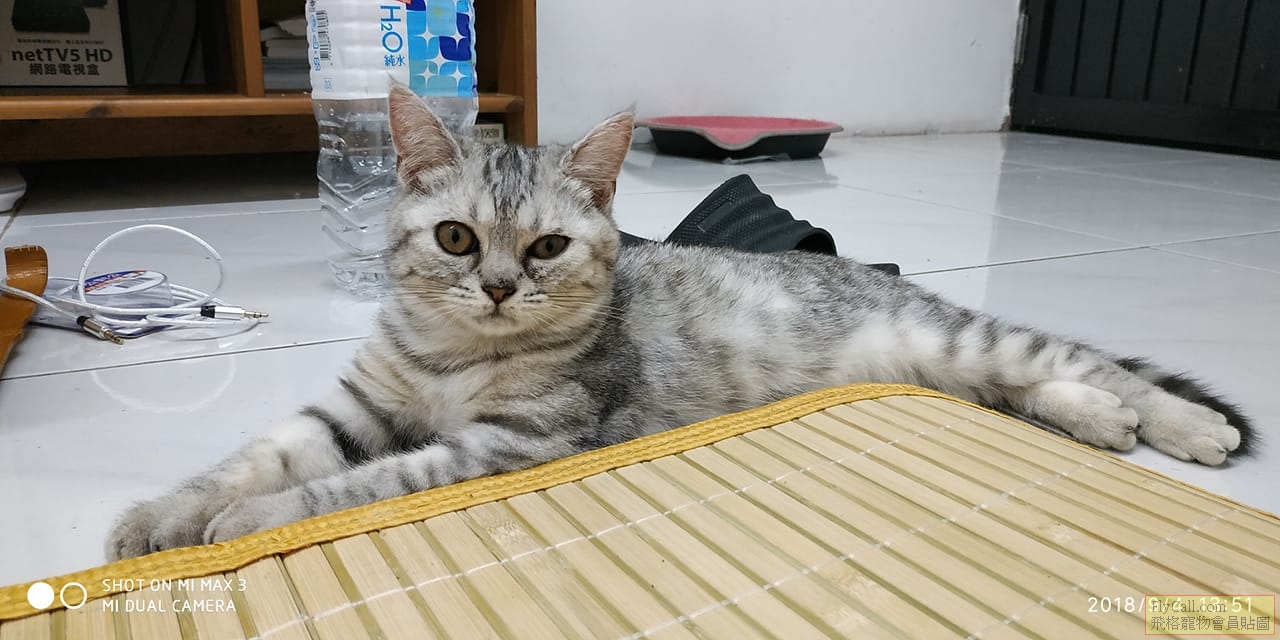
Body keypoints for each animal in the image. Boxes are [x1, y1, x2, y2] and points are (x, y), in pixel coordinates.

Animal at [105, 85, 1255, 560]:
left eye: (546, 250)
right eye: (457, 240)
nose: (496, 289)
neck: (456, 359)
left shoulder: (512, 444)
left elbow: (350, 485)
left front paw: (240, 523)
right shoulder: (354, 405)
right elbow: (261, 454)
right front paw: (161, 515)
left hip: (963, 341)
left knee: (1090, 365)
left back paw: (1187, 426)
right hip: (944, 373)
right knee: (1031, 390)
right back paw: (1099, 421)